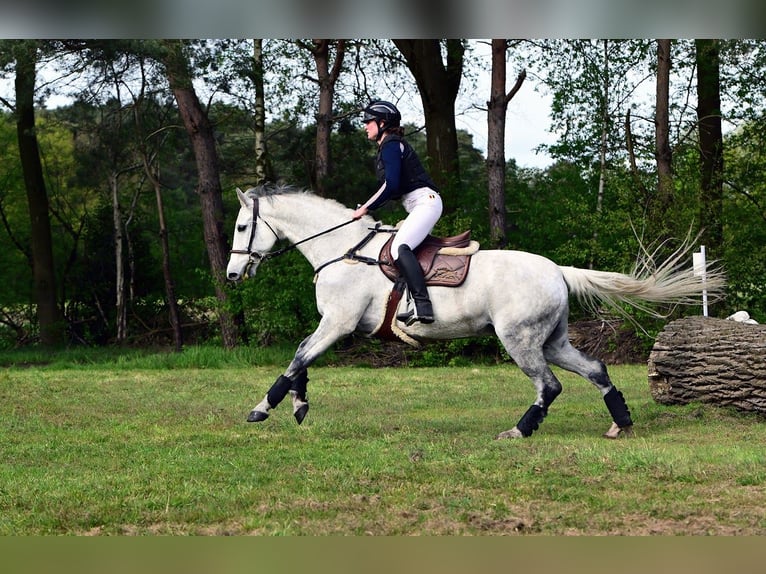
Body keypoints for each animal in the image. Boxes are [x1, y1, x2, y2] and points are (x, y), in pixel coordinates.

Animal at [226, 184, 725, 439]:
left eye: (243, 225)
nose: (231, 274)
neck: (343, 250)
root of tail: (557, 270)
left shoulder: (338, 323)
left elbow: (297, 358)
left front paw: (263, 409)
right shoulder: (333, 325)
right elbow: (301, 357)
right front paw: (298, 405)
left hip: (519, 339)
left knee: (549, 385)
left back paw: (520, 431)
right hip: (552, 340)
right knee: (595, 369)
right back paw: (620, 424)